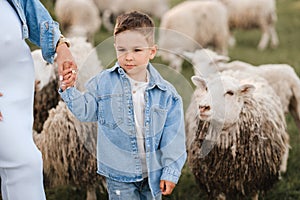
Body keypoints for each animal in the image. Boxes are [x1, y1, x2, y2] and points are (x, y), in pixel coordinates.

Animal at [186, 72, 290, 200]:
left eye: (230, 93)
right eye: (206, 88)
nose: (203, 107)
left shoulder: (256, 177)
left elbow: (254, 195)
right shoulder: (214, 181)